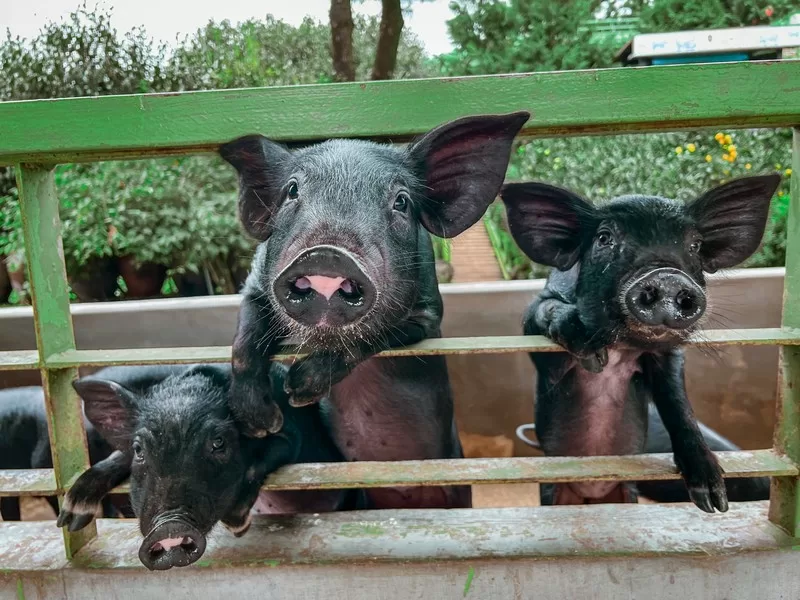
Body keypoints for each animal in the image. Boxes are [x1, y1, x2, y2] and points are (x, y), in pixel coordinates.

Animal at [57, 363, 358, 571]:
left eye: (218, 442)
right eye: (139, 449)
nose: (169, 526)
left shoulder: (291, 435)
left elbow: (260, 460)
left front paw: (236, 524)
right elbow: (119, 456)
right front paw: (71, 517)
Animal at [219, 111, 529, 509]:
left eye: (401, 201)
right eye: (292, 190)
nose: (327, 255)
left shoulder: (428, 316)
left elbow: (372, 338)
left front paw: (298, 388)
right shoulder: (255, 286)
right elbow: (246, 338)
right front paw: (261, 422)